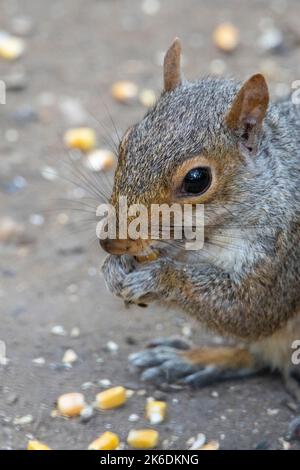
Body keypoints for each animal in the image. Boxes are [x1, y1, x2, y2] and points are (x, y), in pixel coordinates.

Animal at [100, 37, 300, 400]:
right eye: (126, 143)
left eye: (197, 180)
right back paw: (194, 359)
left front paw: (159, 279)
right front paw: (114, 269)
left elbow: (249, 310)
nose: (111, 243)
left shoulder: (284, 252)